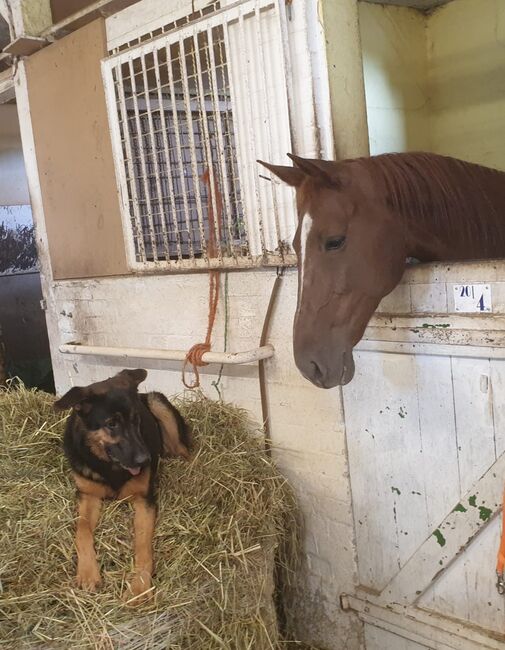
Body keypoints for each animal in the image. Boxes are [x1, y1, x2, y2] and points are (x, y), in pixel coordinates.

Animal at [53, 368, 189, 600]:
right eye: (112, 424)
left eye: (137, 420)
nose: (145, 460)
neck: (110, 466)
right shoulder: (87, 496)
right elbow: (82, 531)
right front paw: (88, 573)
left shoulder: (144, 501)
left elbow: (143, 547)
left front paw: (139, 588)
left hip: (158, 403)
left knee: (183, 450)